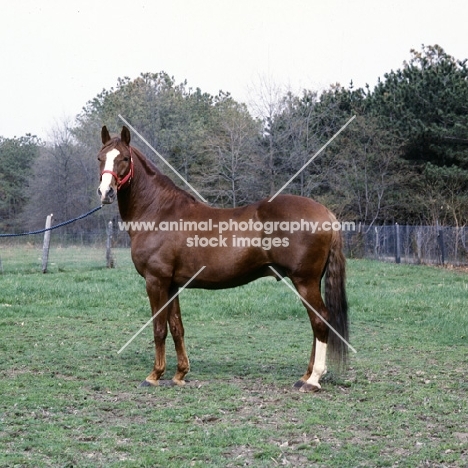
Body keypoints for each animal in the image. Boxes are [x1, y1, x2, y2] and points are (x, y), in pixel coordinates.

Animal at [98, 126, 348, 394]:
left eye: (124, 158)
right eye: (100, 158)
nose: (105, 193)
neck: (159, 213)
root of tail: (326, 213)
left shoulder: (156, 281)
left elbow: (159, 329)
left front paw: (154, 375)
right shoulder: (172, 284)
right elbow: (176, 327)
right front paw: (180, 373)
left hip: (305, 281)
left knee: (320, 320)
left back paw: (313, 380)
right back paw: (305, 376)